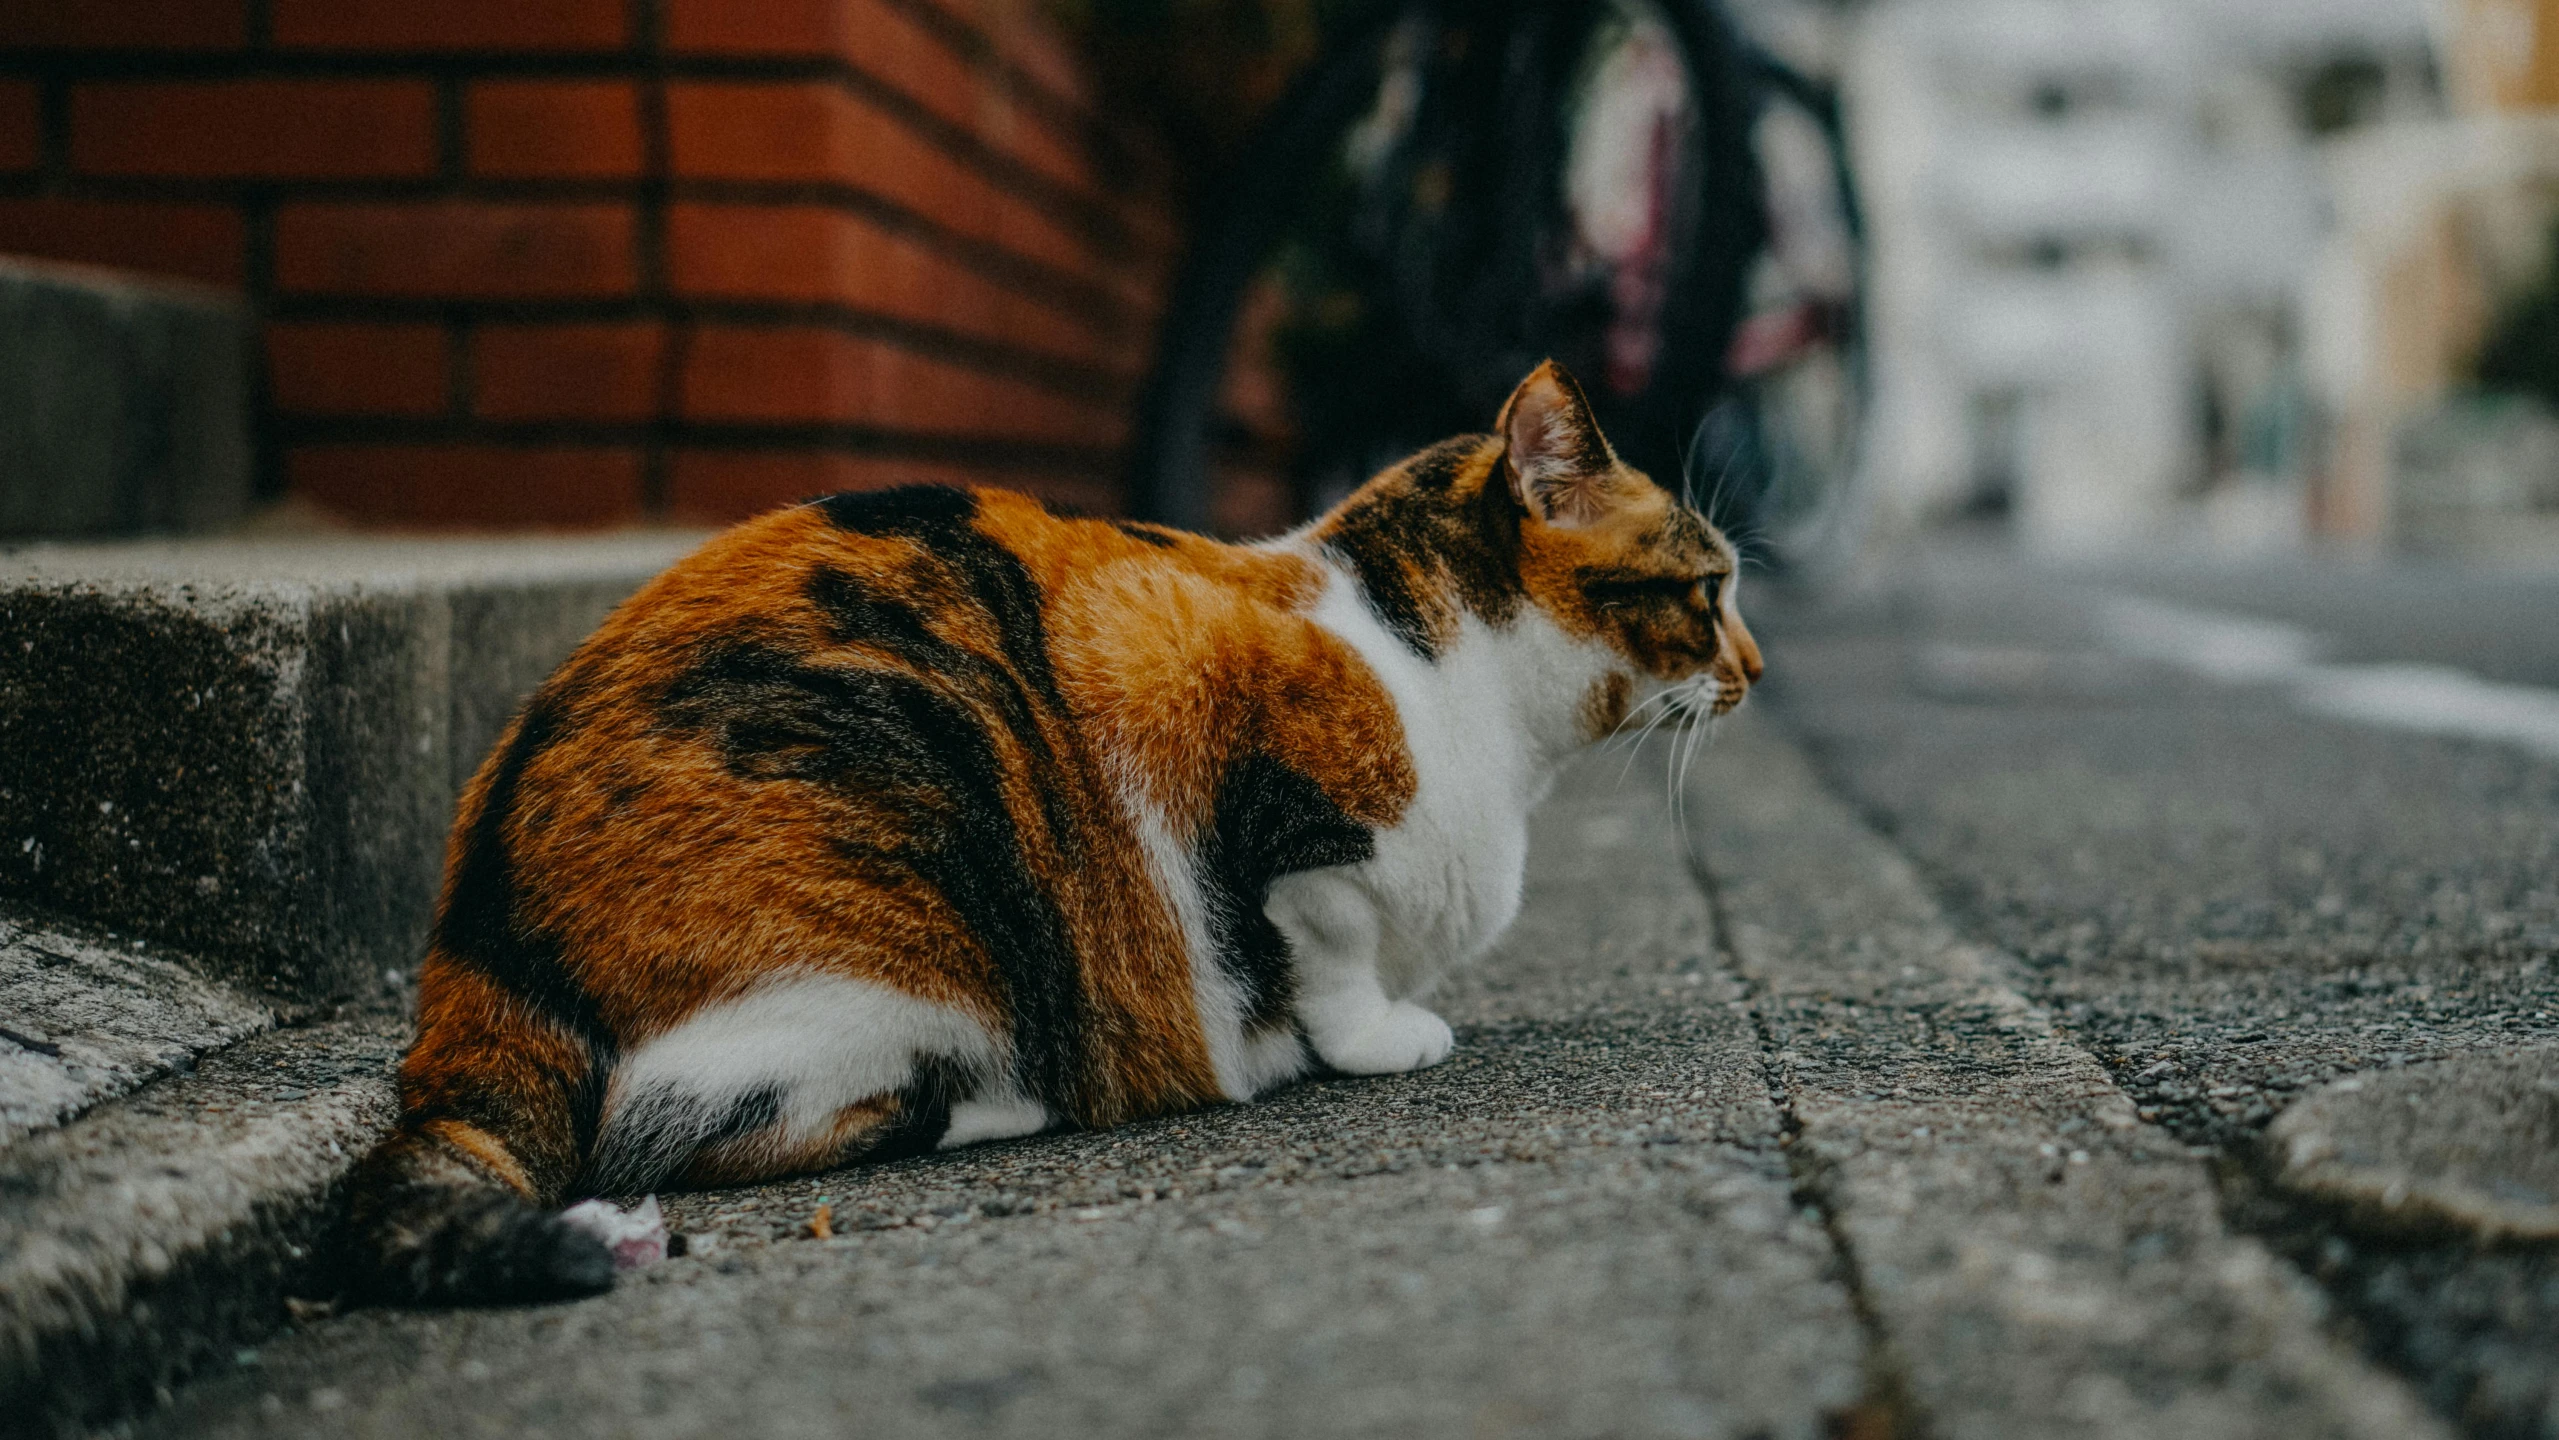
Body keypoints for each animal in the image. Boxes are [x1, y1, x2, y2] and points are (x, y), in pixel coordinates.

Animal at [355, 363, 1760, 1309]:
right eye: (1708, 589)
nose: (1756, 667)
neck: (1443, 669)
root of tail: (472, 953)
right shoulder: (1267, 800)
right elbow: (1326, 952)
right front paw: (1370, 1041)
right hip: (892, 929)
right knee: (698, 1135)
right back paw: (1013, 1104)